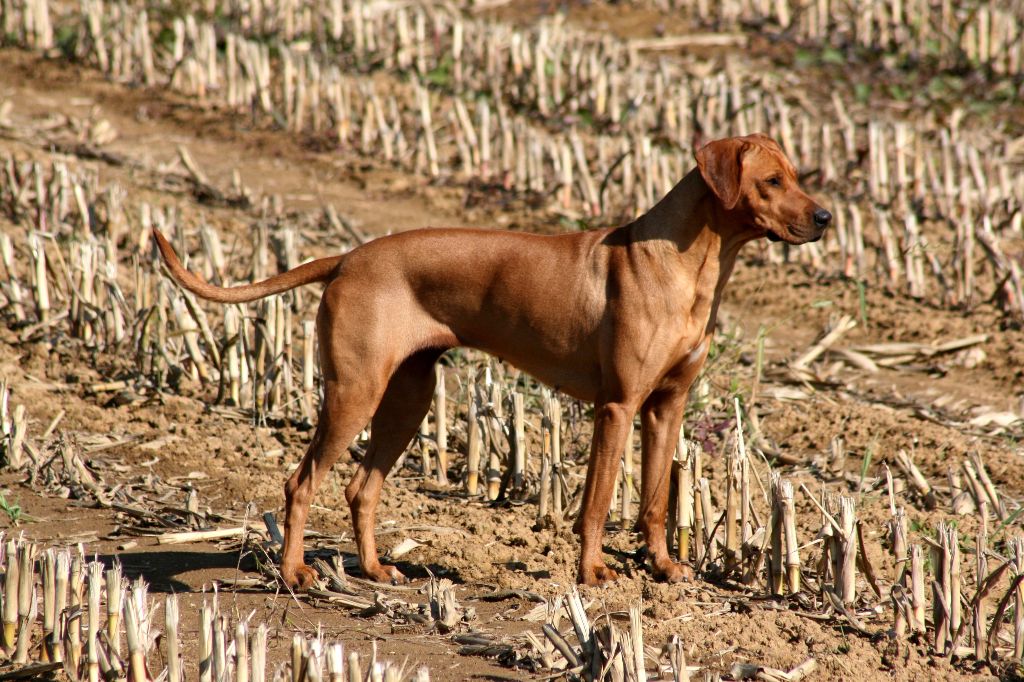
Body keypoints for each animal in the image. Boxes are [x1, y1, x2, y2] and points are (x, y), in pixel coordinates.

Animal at [153, 133, 831, 585]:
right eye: (772, 182)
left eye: (797, 176)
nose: (825, 217)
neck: (692, 265)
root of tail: (348, 257)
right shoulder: (617, 407)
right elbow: (597, 501)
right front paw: (592, 574)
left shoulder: (666, 407)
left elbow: (657, 501)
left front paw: (663, 568)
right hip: (354, 392)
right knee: (301, 483)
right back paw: (296, 574)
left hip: (408, 397)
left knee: (360, 487)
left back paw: (374, 570)